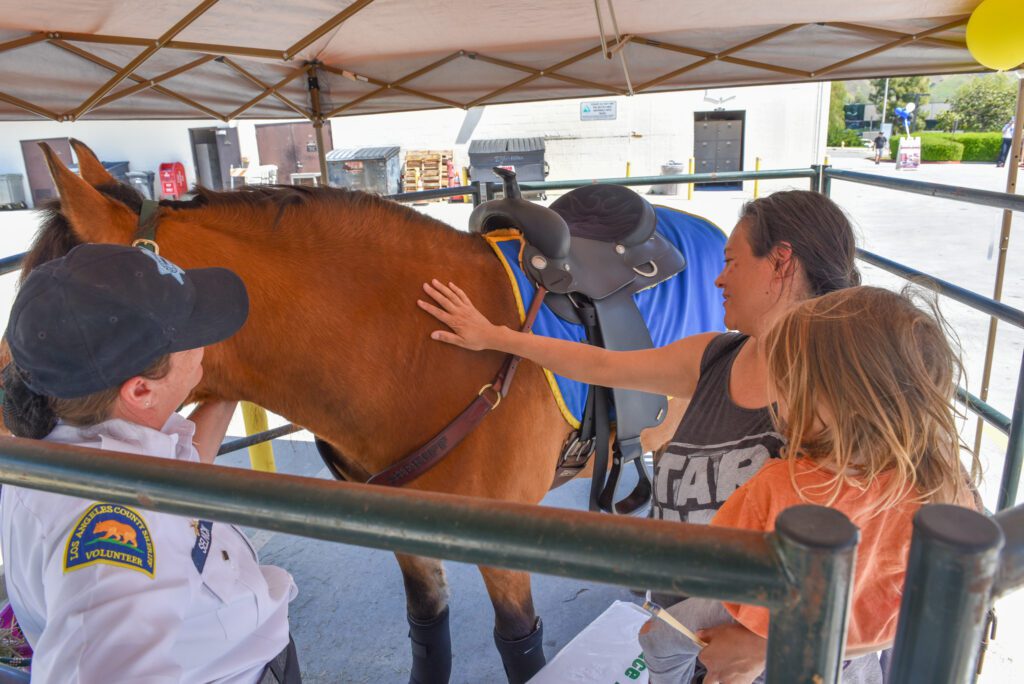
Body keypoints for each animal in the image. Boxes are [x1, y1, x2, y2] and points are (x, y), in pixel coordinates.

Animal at [18, 140, 688, 684]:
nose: (18, 418)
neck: (419, 349)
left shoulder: (508, 558)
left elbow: (521, 650)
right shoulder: (407, 543)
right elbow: (429, 640)